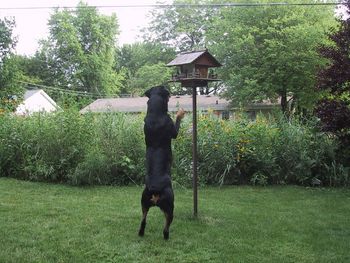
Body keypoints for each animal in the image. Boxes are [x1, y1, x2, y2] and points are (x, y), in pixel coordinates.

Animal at [137, 85, 185, 240]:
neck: (156, 115)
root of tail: (154, 190)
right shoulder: (174, 131)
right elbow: (177, 122)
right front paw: (180, 113)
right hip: (170, 206)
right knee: (166, 226)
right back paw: (167, 237)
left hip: (144, 203)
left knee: (143, 221)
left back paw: (141, 233)